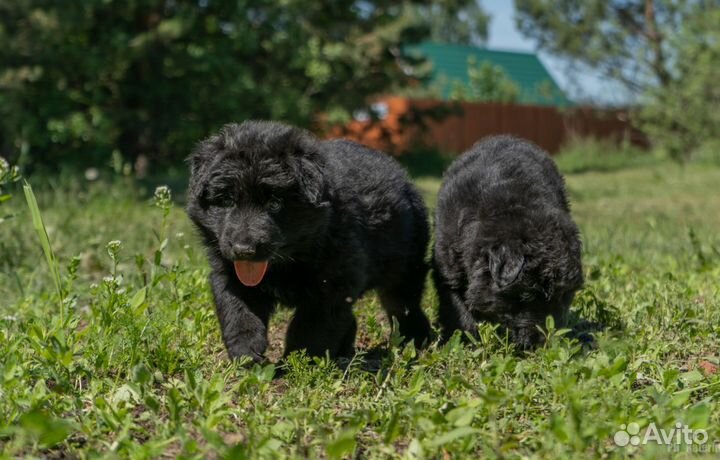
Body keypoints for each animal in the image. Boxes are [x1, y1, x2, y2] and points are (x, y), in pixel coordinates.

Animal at [187, 120, 434, 362]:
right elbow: (238, 309)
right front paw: (246, 353)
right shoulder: (228, 272)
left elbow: (310, 328)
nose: (243, 250)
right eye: (227, 200)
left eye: (275, 203)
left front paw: (296, 363)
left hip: (406, 263)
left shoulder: (332, 283)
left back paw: (416, 340)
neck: (288, 260)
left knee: (403, 303)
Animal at [430, 136, 584, 348]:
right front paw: (464, 341)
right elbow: (457, 309)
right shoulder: (448, 268)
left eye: (564, 295)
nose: (545, 345)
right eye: (527, 295)